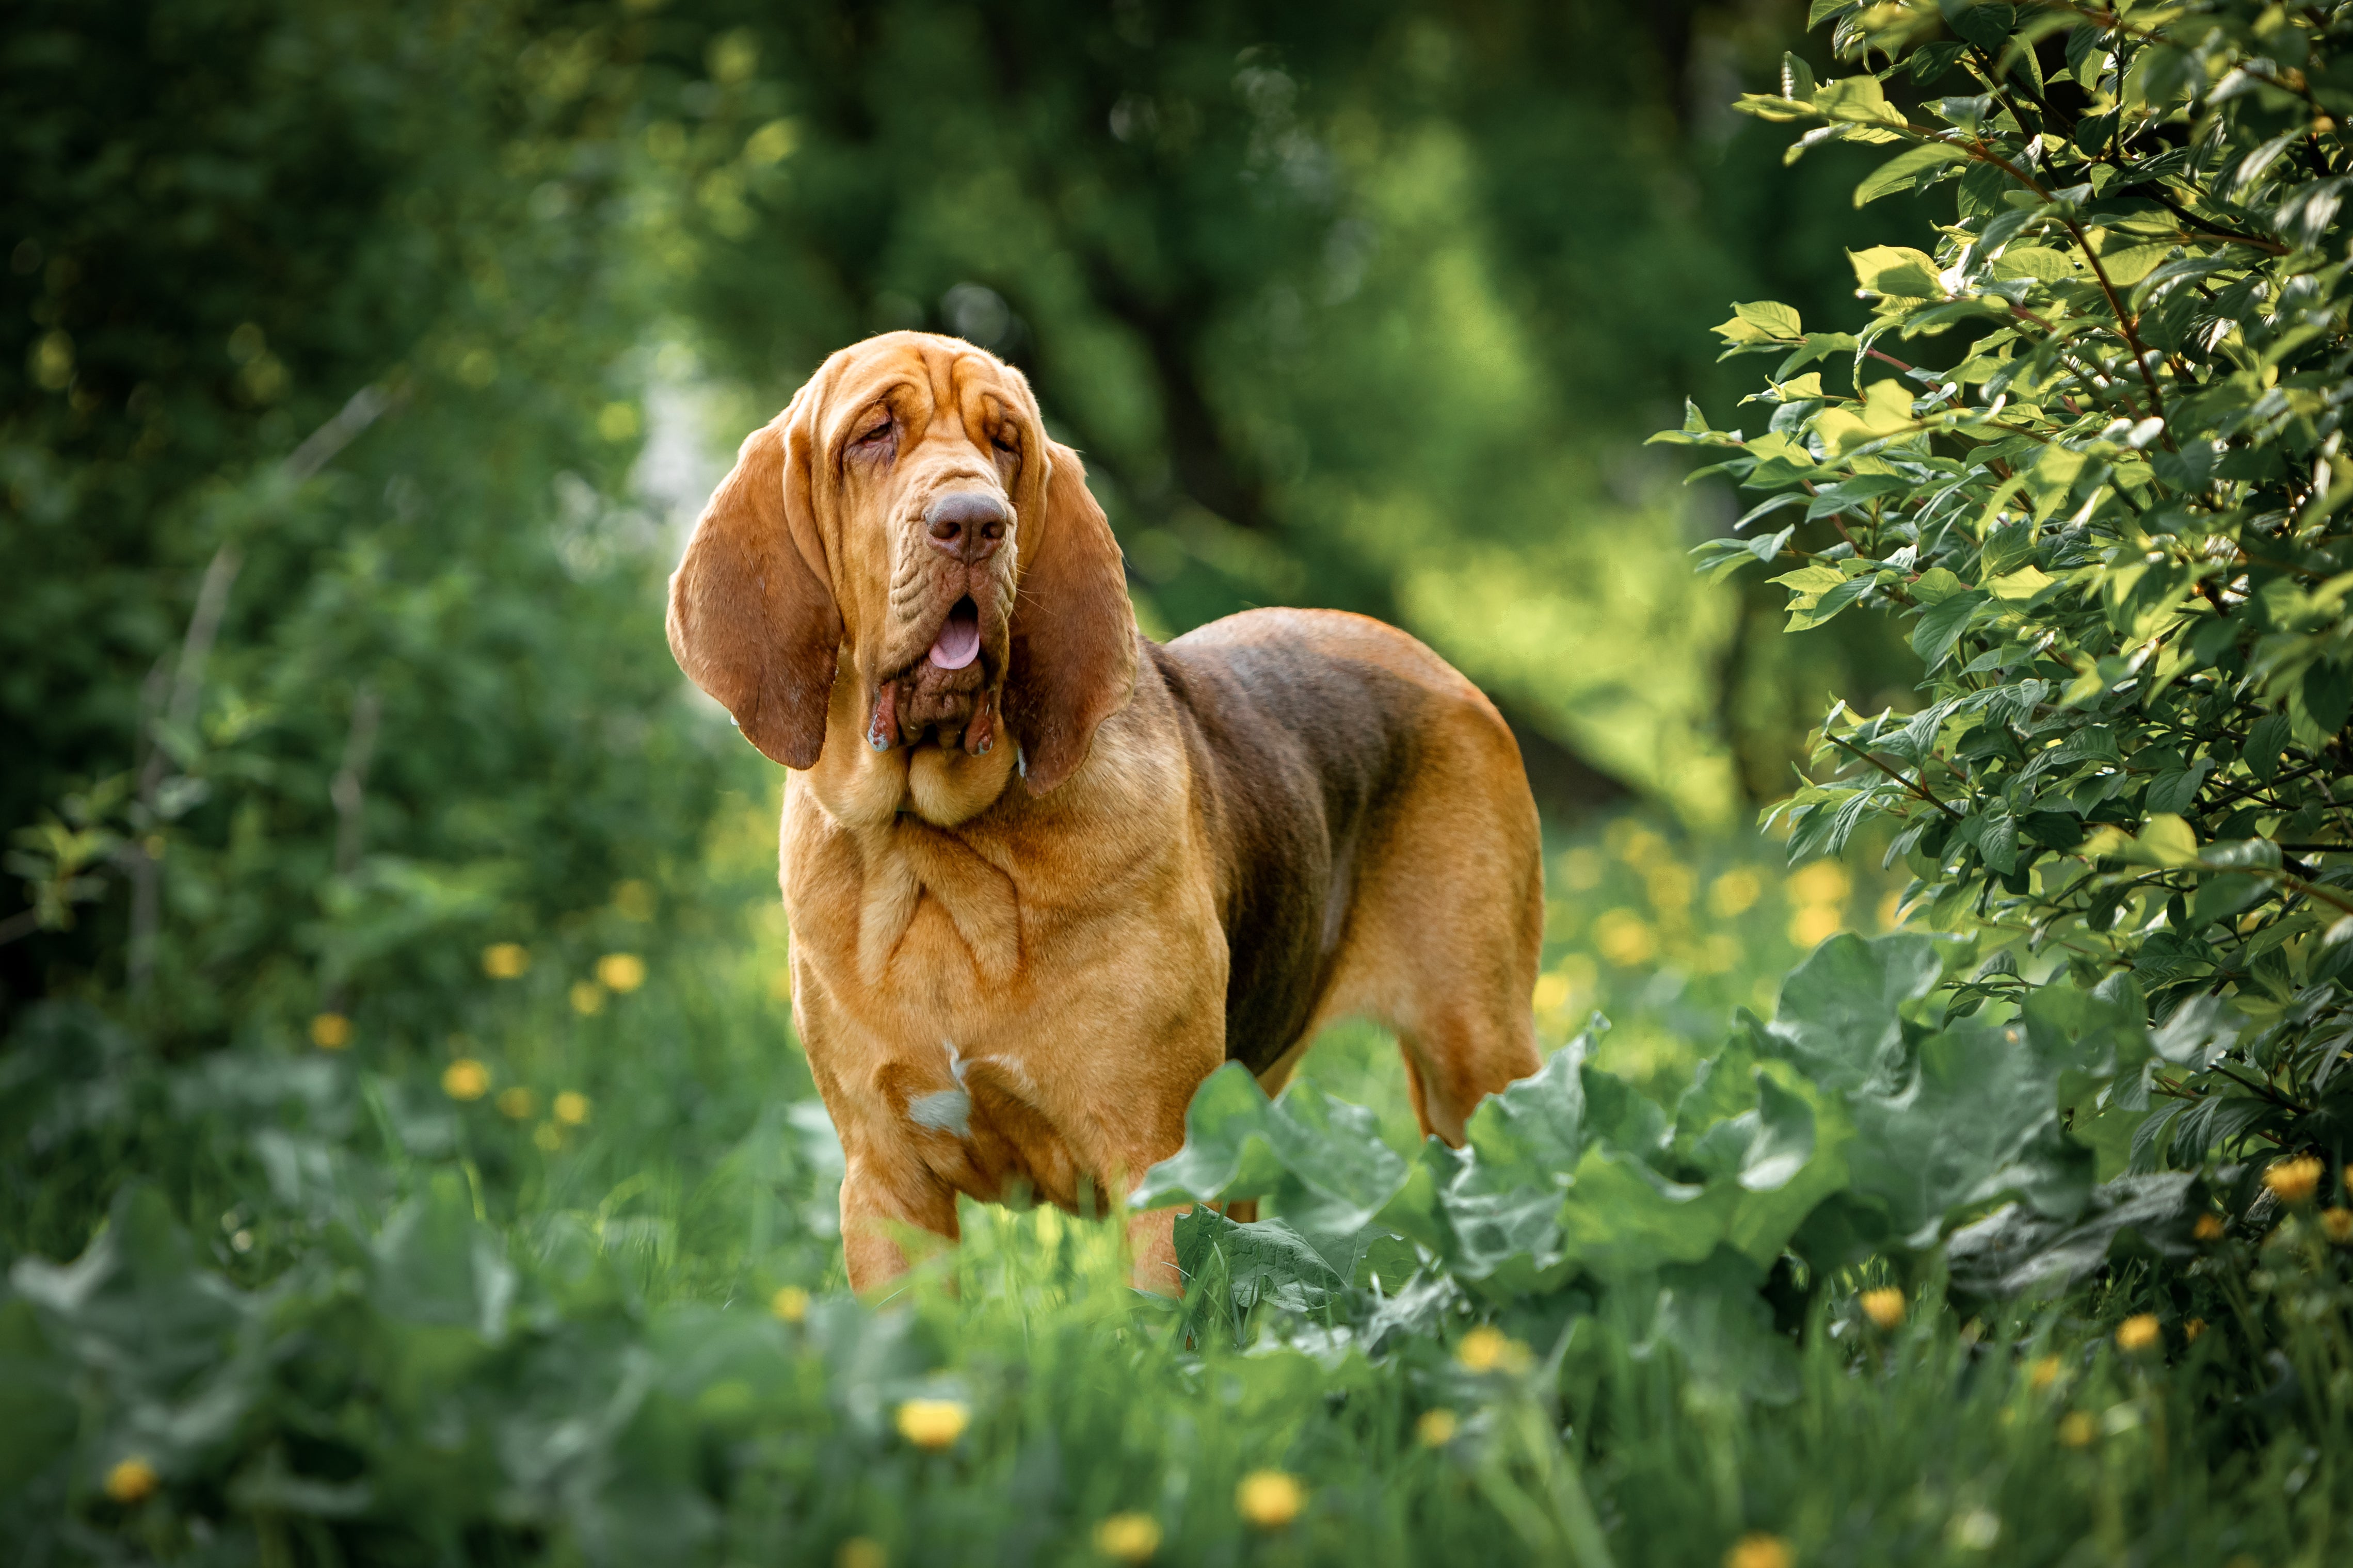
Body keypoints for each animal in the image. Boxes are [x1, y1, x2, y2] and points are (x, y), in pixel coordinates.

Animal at [668, 331, 1543, 1288]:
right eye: (872, 434)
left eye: (1005, 441)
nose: (973, 523)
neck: (936, 849)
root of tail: (1442, 669)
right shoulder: (887, 1184)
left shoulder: (1157, 1167)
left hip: (1476, 1061)